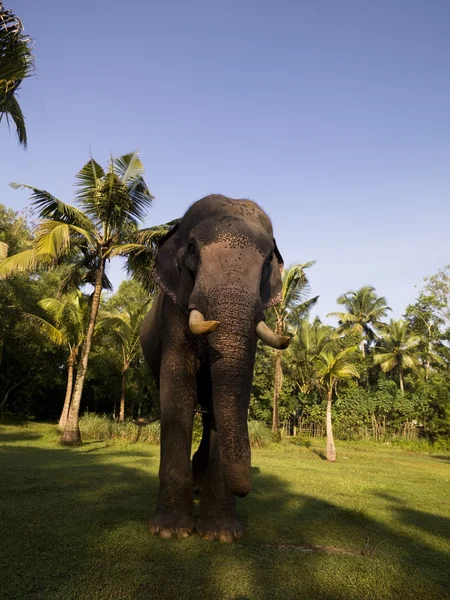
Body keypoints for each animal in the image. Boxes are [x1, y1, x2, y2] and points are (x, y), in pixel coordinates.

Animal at [139, 195, 290, 540]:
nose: (246, 490)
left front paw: (222, 535)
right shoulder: (174, 312)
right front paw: (170, 532)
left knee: (210, 413)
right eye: (193, 249)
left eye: (267, 263)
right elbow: (177, 389)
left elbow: (238, 389)